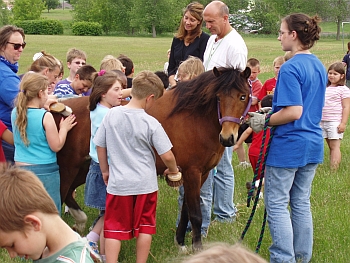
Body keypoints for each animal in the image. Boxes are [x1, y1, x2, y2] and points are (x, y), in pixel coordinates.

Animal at [54, 66, 252, 252]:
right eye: (218, 97)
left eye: (243, 96)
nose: (227, 138)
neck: (196, 118)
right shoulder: (192, 173)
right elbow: (196, 214)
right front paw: (197, 248)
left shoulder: (200, 174)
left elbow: (186, 210)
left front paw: (180, 242)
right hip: (68, 168)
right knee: (59, 196)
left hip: (86, 168)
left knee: (68, 193)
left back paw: (80, 221)